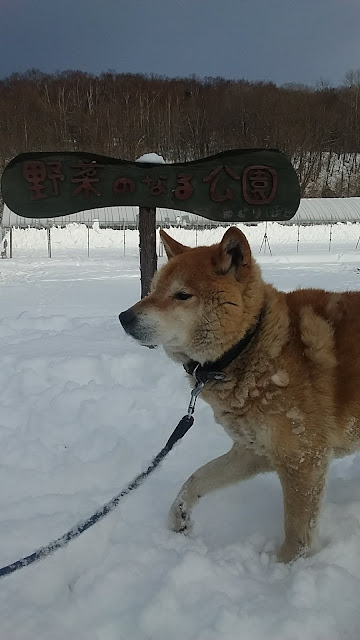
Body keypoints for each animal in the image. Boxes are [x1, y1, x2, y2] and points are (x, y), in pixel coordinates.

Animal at [119, 228, 360, 564]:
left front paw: (281, 569)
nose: (123, 317)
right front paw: (179, 514)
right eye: (153, 290)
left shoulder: (302, 459)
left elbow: (297, 534)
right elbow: (198, 477)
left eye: (182, 295)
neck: (250, 345)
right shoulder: (253, 451)